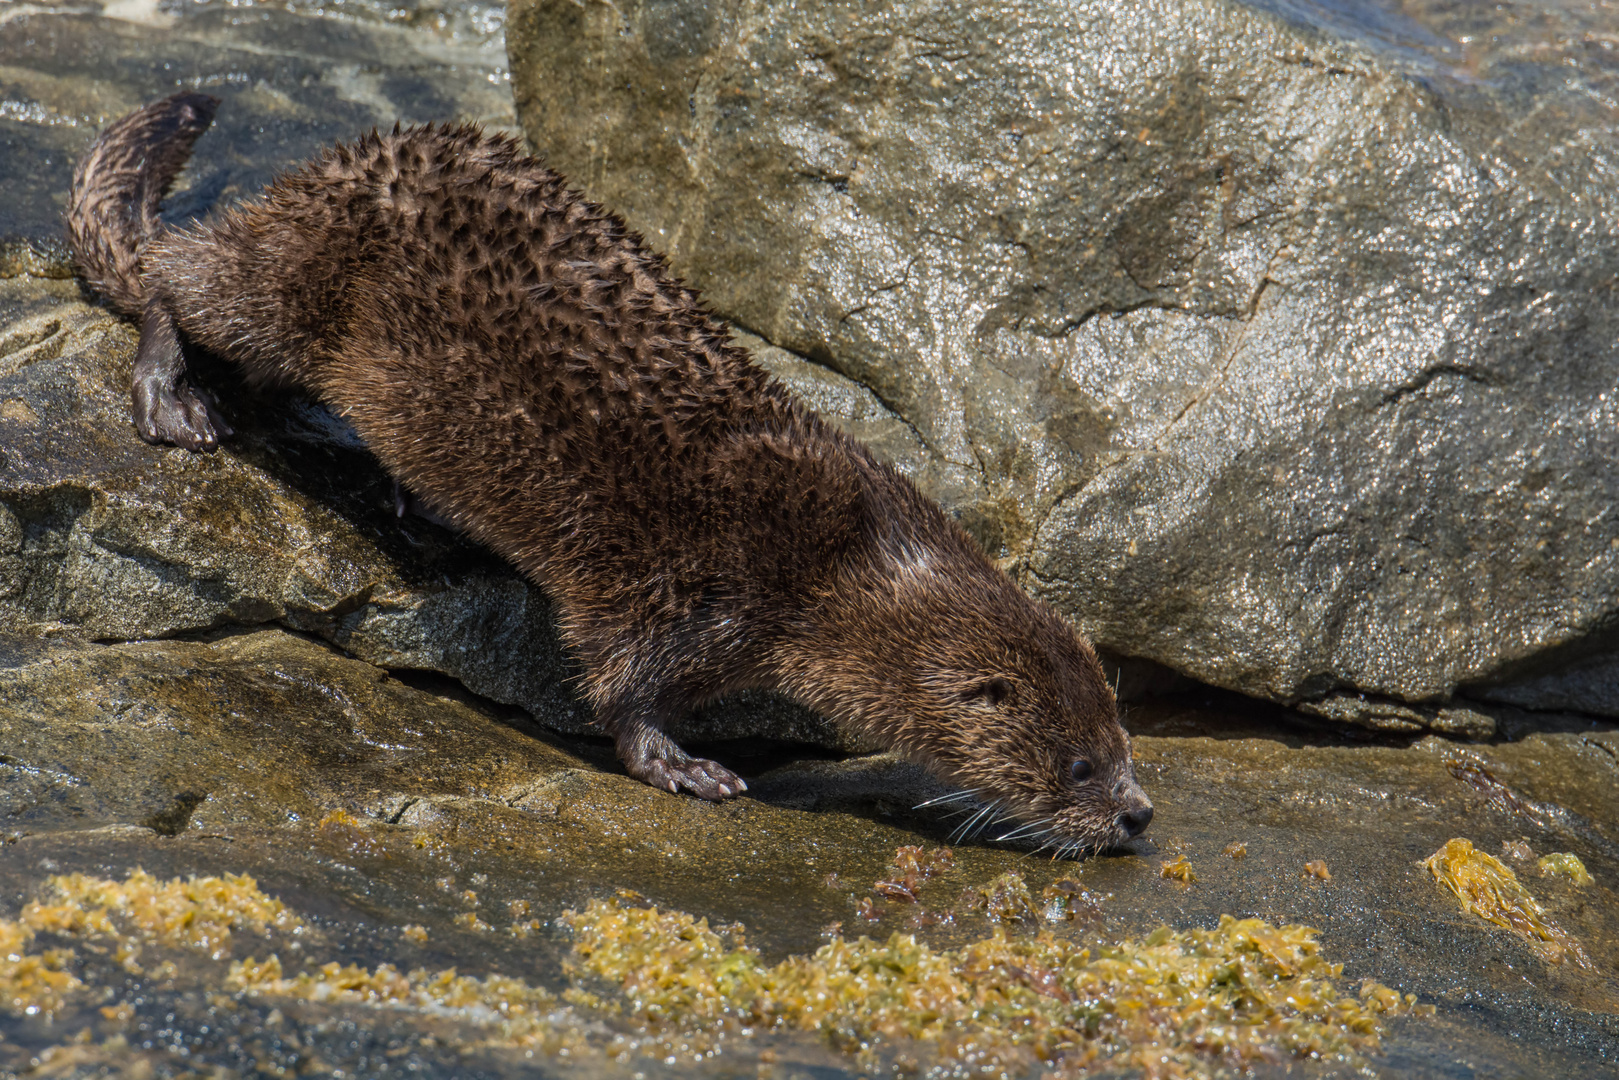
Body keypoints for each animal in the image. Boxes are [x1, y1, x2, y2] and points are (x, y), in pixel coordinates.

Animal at [66, 90, 1152, 854]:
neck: (849, 564)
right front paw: (684, 767)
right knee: (177, 278)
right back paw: (174, 400)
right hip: (304, 277)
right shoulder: (691, 583)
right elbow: (621, 679)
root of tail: (327, 167)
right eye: (1079, 765)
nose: (1138, 816)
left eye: (1123, 739)